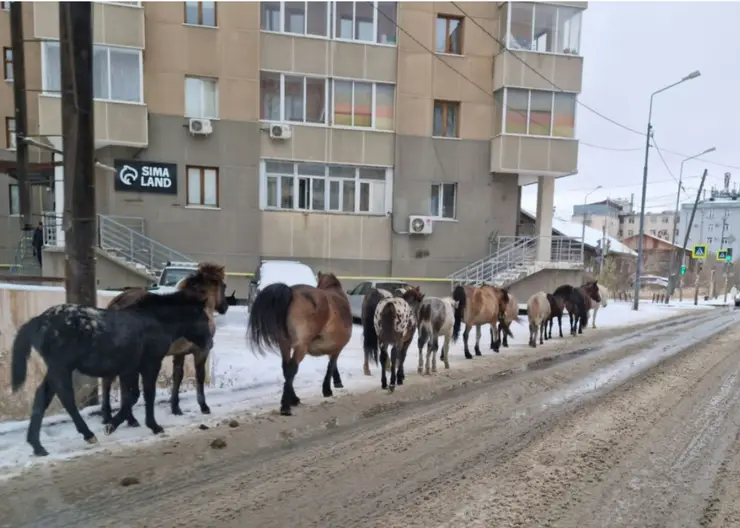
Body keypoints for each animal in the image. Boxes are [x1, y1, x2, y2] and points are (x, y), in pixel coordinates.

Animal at [10, 290, 212, 456]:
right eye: (203, 318)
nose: (209, 343)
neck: (155, 321)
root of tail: (39, 320)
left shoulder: (131, 369)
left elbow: (133, 396)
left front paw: (124, 423)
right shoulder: (149, 365)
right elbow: (143, 395)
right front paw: (141, 425)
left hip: (56, 369)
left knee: (42, 397)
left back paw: (37, 446)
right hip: (61, 367)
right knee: (66, 397)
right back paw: (88, 435)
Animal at [100, 262, 228, 426]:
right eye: (224, 285)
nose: (225, 307)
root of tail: (115, 304)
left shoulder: (180, 353)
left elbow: (177, 377)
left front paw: (175, 408)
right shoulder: (201, 351)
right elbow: (199, 377)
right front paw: (204, 406)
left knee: (108, 381)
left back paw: (110, 417)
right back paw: (126, 418)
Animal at [247, 272, 352, 416]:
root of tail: (292, 292)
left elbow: (332, 364)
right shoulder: (337, 348)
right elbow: (331, 366)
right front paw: (328, 389)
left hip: (284, 344)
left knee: (286, 368)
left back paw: (293, 399)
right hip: (301, 346)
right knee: (292, 368)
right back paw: (286, 406)